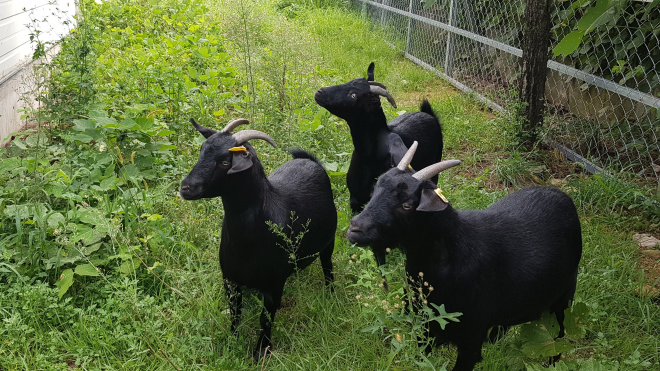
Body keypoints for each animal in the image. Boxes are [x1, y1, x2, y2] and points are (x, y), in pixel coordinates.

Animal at [179, 118, 338, 360]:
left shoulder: (273, 284)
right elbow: (235, 313)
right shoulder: (231, 279)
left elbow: (266, 319)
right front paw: (232, 342)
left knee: (327, 266)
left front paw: (261, 351)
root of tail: (309, 160)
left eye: (225, 161)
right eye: (202, 152)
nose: (186, 188)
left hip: (330, 241)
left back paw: (330, 295)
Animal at [346, 141, 584, 370]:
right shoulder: (424, 326)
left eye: (407, 205)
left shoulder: (471, 337)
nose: (355, 228)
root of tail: (562, 195)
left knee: (559, 335)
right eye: (374, 189)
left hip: (565, 296)